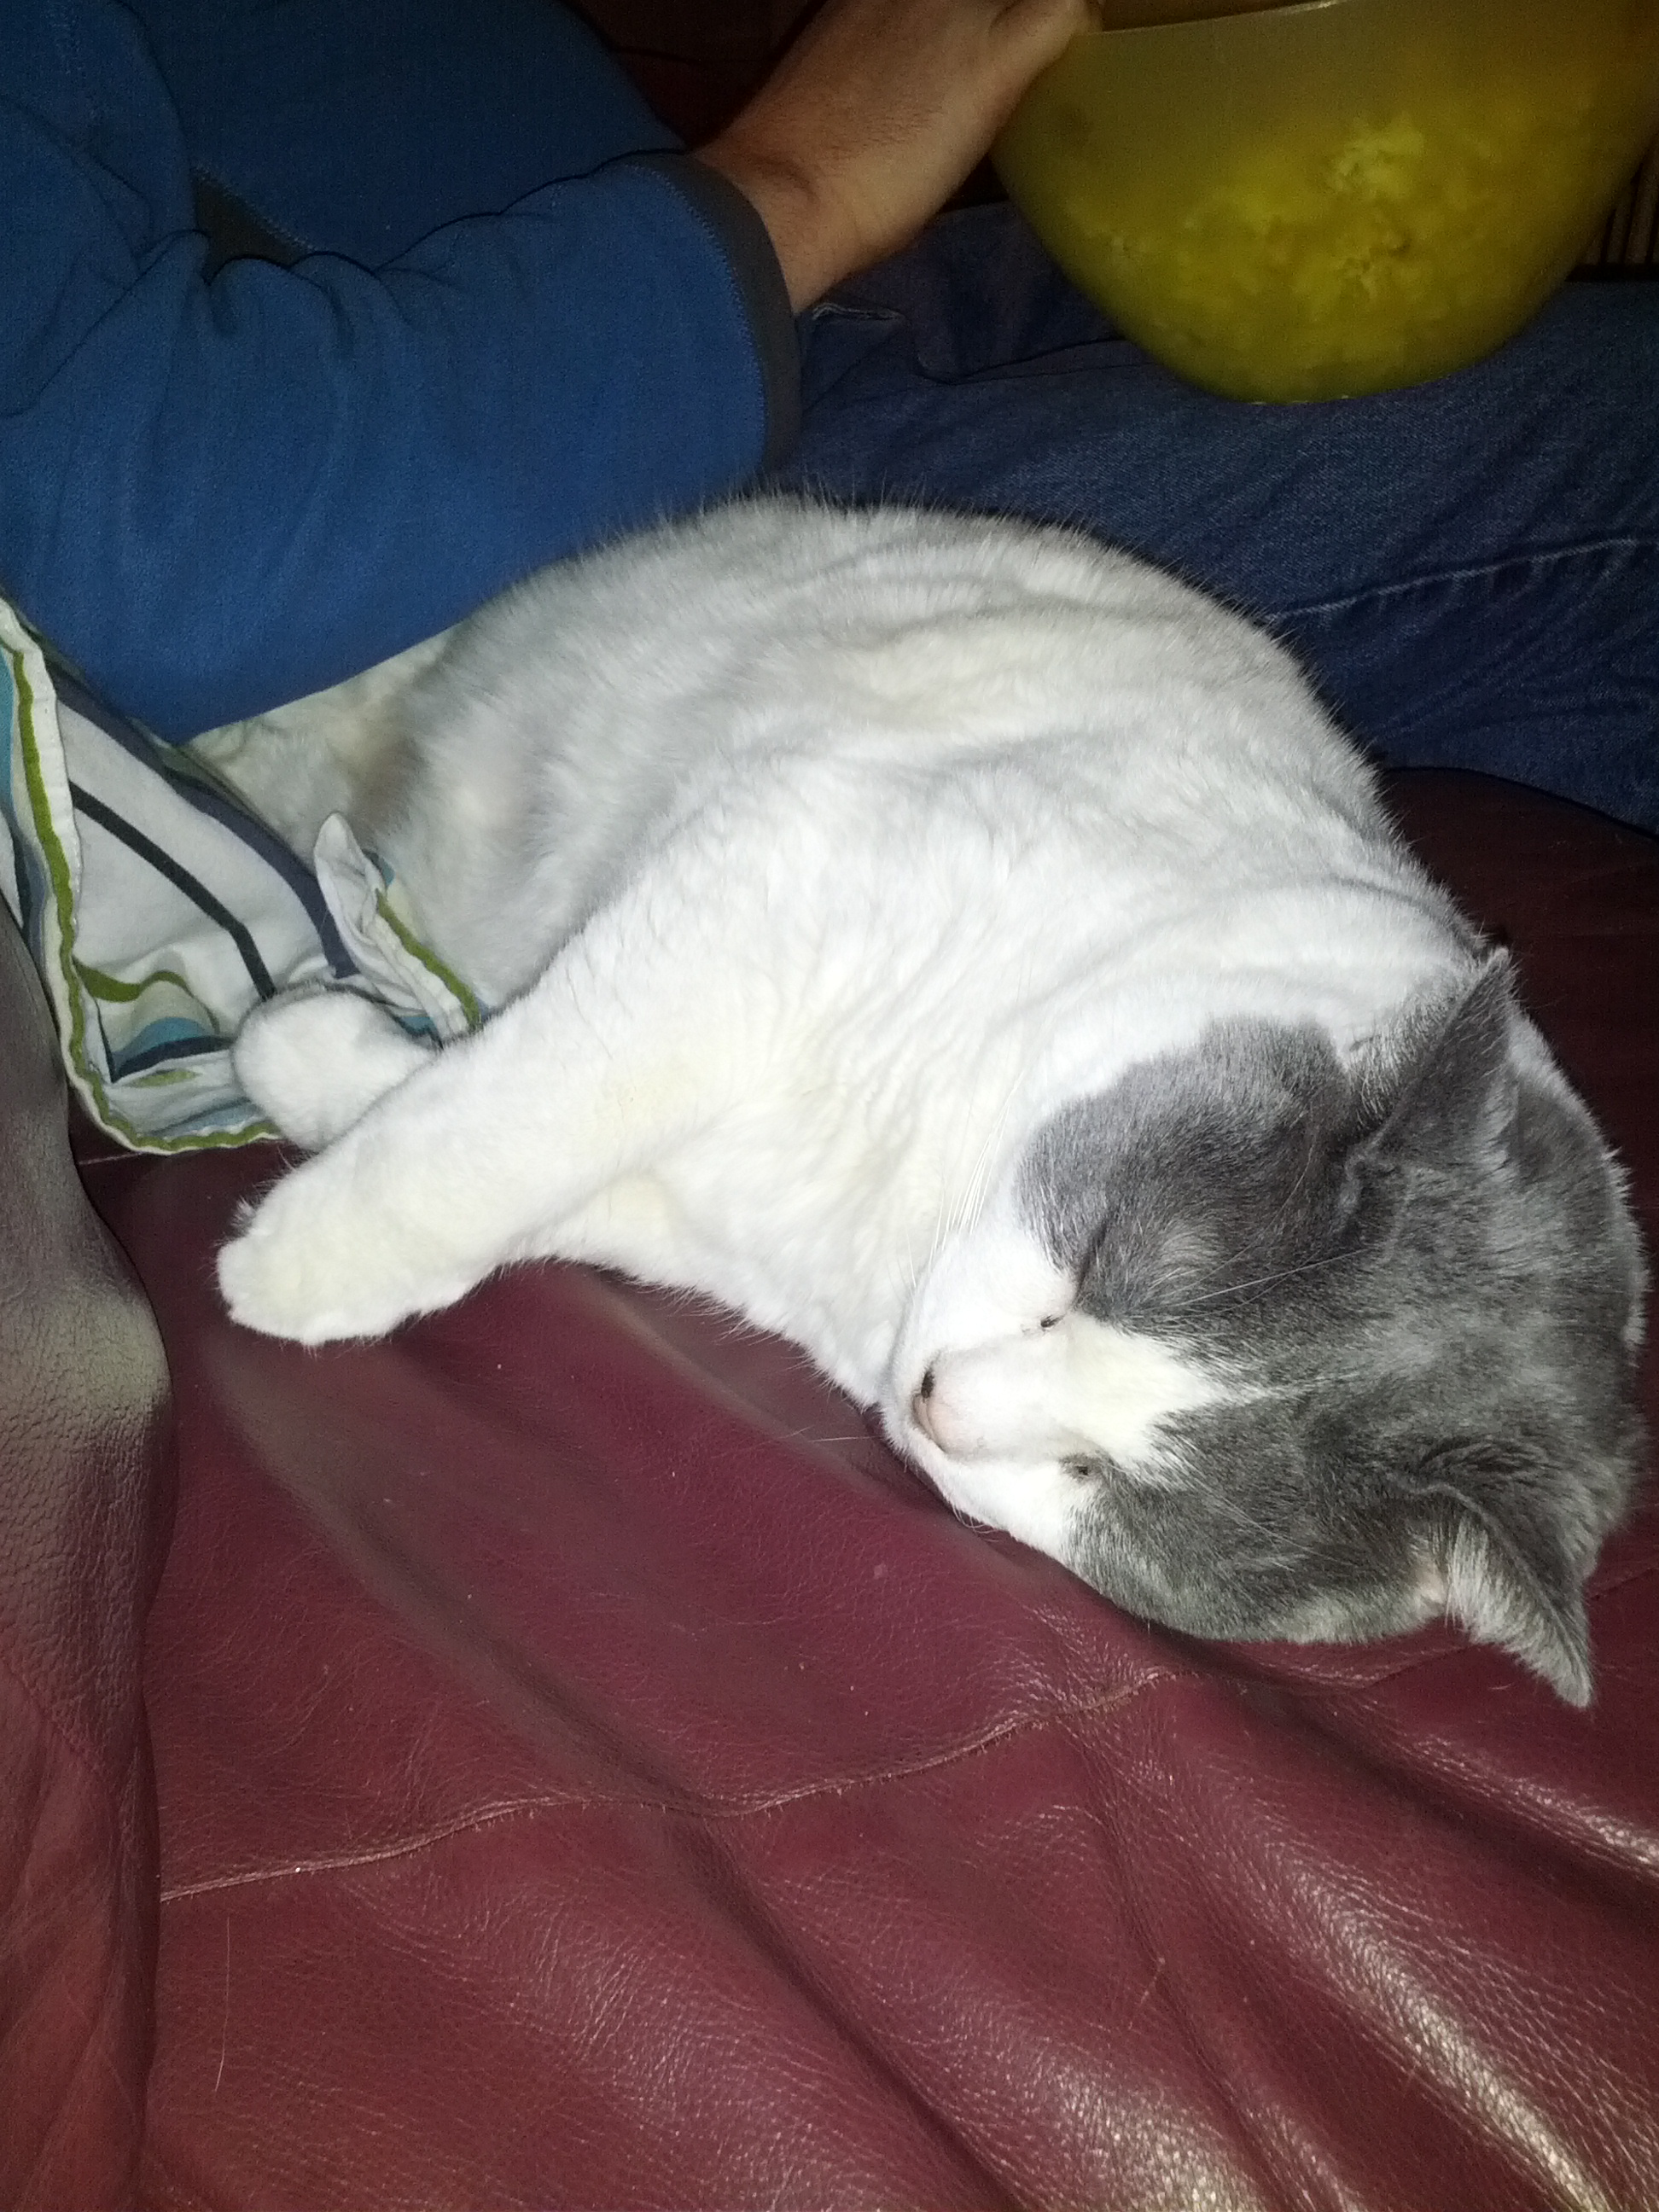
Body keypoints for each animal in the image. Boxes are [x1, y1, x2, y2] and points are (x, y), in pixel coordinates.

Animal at [213, 496, 1647, 1703]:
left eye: (1098, 1483)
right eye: (1088, 1261)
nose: (941, 1397)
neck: (906, 1193)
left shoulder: (709, 1204)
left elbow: (528, 1142)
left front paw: (308, 1082)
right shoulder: (765, 882)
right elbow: (523, 1107)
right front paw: (290, 1234)